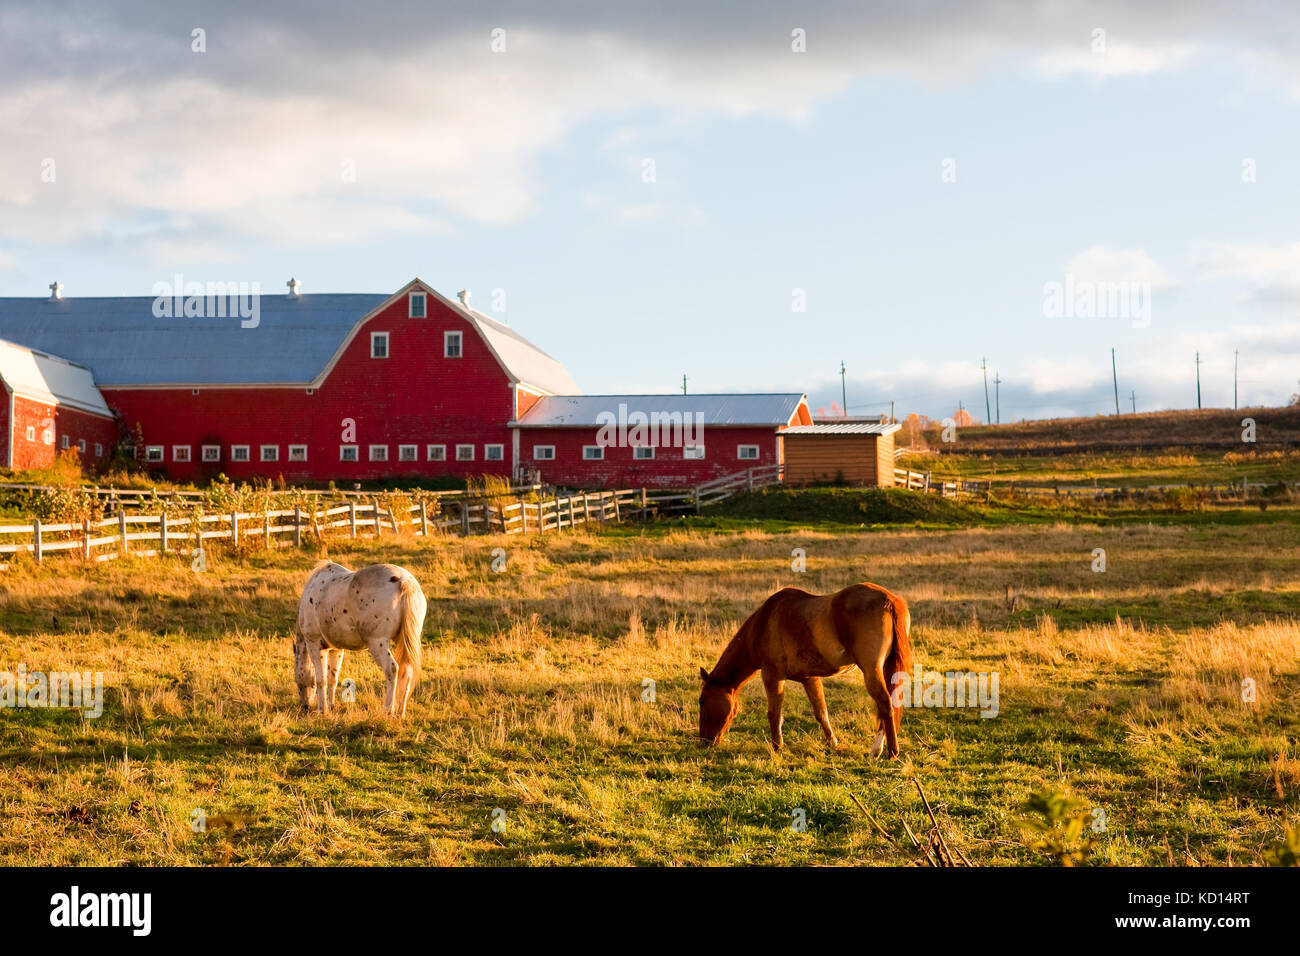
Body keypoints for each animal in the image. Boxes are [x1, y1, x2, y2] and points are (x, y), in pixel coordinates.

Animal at [702, 582, 915, 754]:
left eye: (702, 701)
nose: (704, 741)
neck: (763, 622)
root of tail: (890, 601)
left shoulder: (772, 675)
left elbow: (774, 713)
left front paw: (777, 746)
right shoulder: (809, 678)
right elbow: (821, 711)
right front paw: (832, 742)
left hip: (872, 671)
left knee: (885, 704)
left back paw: (888, 752)